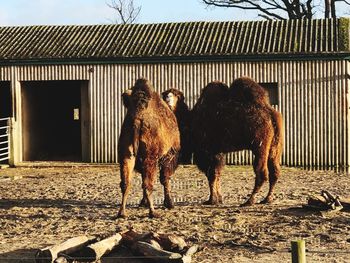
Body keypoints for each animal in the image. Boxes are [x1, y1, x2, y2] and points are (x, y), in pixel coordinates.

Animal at [117, 78, 180, 219]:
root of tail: (137, 120)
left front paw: (142, 203)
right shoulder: (169, 155)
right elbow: (165, 178)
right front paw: (169, 203)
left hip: (126, 153)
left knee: (125, 183)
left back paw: (122, 213)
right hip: (150, 155)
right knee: (148, 184)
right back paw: (153, 212)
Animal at [191, 77, 284, 207]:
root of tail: (272, 114)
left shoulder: (209, 151)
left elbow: (212, 174)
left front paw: (212, 200)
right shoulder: (218, 152)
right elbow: (217, 173)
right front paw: (218, 199)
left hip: (260, 147)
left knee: (261, 172)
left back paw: (249, 201)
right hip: (275, 147)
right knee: (274, 172)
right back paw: (267, 199)